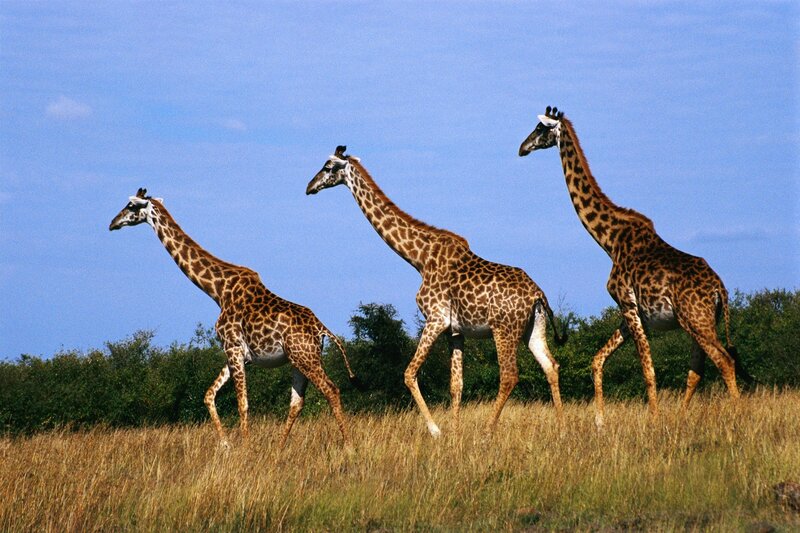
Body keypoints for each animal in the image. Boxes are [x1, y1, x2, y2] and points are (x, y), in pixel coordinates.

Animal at [109, 188, 358, 447]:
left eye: (130, 206)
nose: (112, 223)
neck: (217, 291)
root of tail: (321, 328)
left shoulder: (233, 348)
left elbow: (242, 403)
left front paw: (245, 446)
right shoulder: (236, 354)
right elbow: (208, 394)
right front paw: (226, 444)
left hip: (306, 358)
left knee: (331, 390)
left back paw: (348, 445)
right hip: (297, 360)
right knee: (297, 402)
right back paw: (279, 447)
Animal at [306, 146, 566, 437]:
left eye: (328, 166)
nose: (309, 187)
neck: (419, 258)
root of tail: (538, 294)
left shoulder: (435, 319)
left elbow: (409, 373)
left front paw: (436, 430)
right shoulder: (455, 331)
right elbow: (456, 384)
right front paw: (454, 433)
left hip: (504, 329)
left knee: (510, 375)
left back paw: (488, 431)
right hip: (533, 327)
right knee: (551, 366)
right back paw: (562, 429)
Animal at [519, 107, 746, 428]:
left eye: (540, 129)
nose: (522, 148)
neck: (610, 240)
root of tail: (720, 290)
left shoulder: (627, 304)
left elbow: (647, 369)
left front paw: (653, 420)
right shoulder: (633, 314)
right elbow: (597, 360)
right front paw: (600, 421)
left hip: (696, 320)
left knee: (724, 360)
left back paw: (737, 416)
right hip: (700, 322)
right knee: (697, 369)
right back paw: (681, 417)